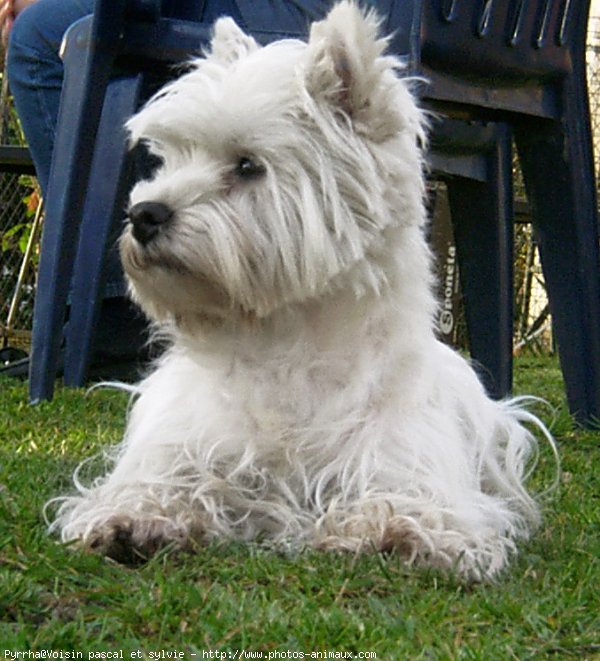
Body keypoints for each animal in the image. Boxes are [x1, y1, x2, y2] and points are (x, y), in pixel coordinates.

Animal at [49, 1, 556, 576]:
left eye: (247, 165)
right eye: (170, 159)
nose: (143, 214)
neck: (284, 340)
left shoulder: (405, 456)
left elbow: (411, 499)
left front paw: (398, 530)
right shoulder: (185, 440)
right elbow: (163, 481)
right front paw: (133, 518)